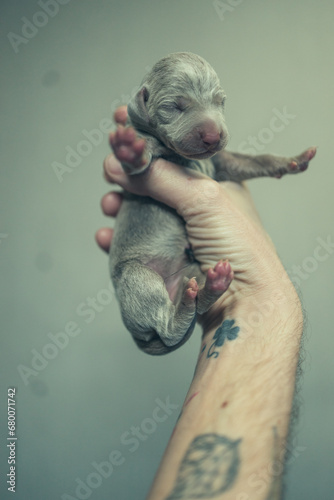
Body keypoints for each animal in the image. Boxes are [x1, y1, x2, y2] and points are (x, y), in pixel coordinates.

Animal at [109, 51, 316, 356]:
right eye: (174, 106)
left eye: (220, 101)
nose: (213, 136)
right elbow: (140, 158)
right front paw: (128, 149)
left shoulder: (221, 161)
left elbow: (250, 160)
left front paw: (291, 160)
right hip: (135, 278)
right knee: (166, 324)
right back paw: (186, 307)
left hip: (192, 270)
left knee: (200, 305)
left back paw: (212, 288)